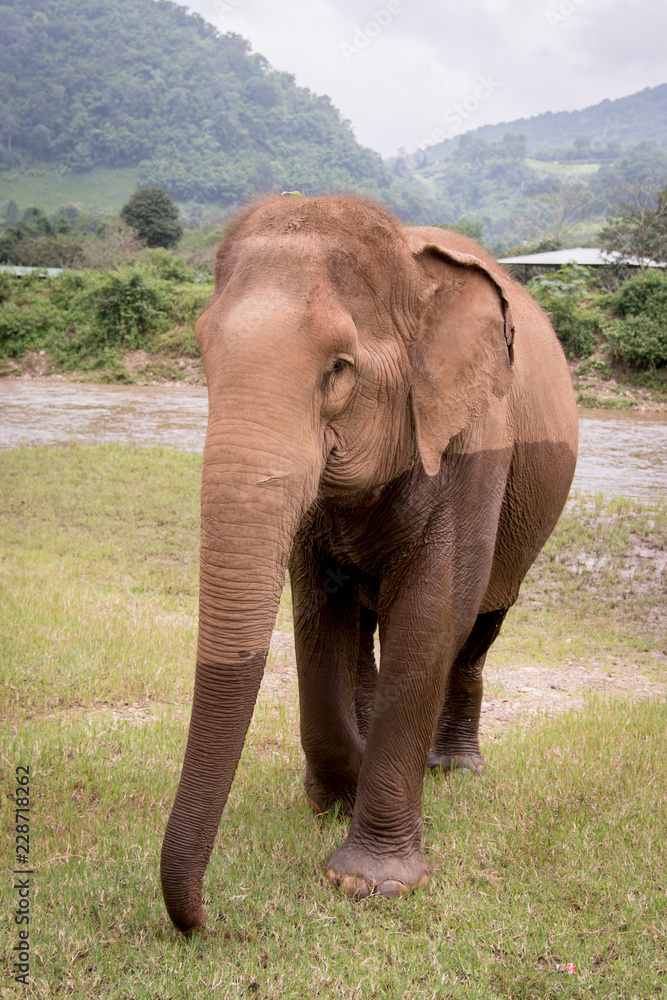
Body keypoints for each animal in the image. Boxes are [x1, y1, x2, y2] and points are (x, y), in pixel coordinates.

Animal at [160, 194, 578, 932]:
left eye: (338, 369)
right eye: (204, 356)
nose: (203, 919)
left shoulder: (475, 440)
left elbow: (432, 613)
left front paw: (370, 883)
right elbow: (316, 612)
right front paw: (335, 798)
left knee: (479, 627)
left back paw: (453, 769)